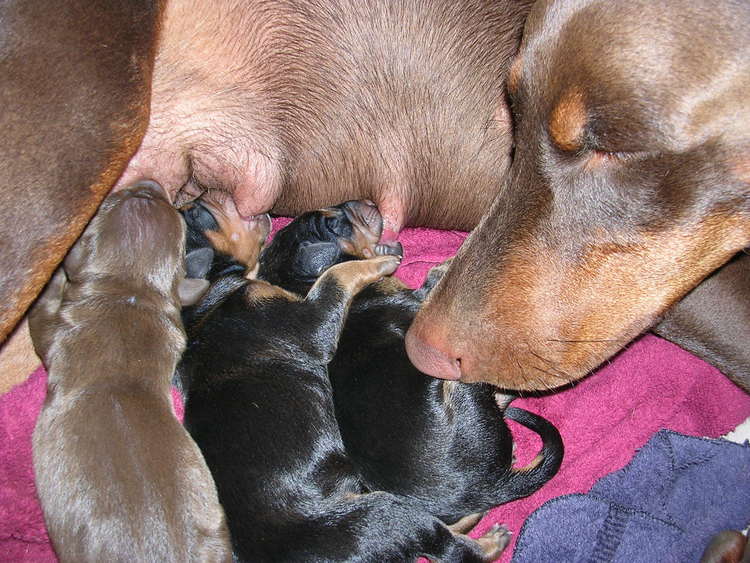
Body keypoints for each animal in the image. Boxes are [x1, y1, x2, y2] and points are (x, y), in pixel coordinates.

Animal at [27, 184, 231, 563]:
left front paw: (51, 277)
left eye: (113, 200)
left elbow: (41, 314)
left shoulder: (54, 331)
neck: (128, 293)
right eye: (159, 201)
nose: (149, 185)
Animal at [181, 202, 512, 563]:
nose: (365, 203)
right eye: (335, 224)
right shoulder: (313, 320)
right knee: (447, 544)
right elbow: (362, 275)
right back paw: (491, 539)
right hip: (384, 511)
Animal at [258, 200, 564, 528]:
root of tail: (489, 487)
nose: (367, 202)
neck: (301, 285)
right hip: (458, 384)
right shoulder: (419, 301)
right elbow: (435, 276)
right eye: (335, 224)